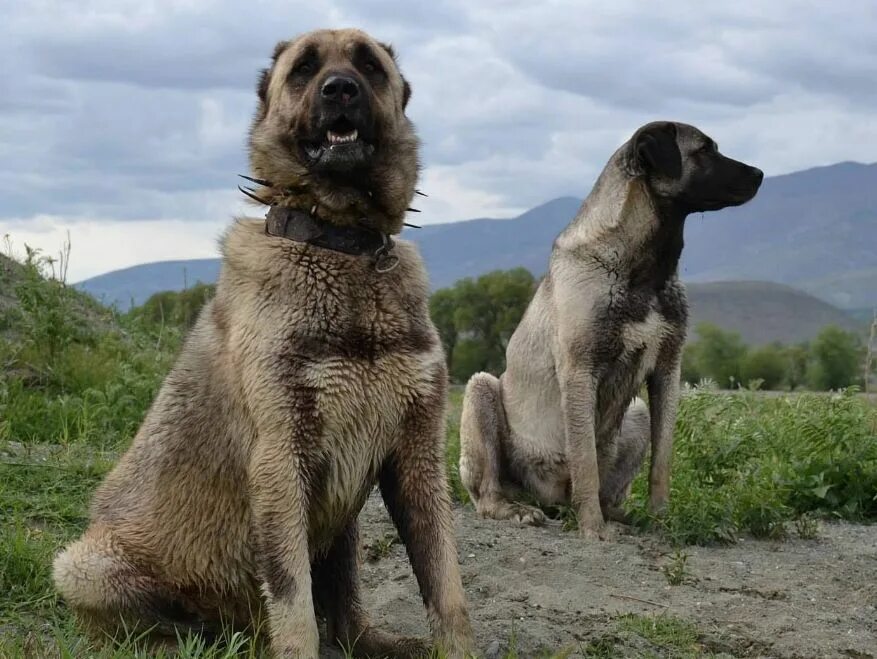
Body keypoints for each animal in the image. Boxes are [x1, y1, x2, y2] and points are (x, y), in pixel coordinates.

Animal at [51, 28, 476, 656]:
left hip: (342, 523)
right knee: (162, 626)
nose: (340, 89)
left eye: (369, 66)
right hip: (82, 566)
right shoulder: (280, 458)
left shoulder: (415, 455)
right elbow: (294, 602)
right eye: (303, 70)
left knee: (346, 611)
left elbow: (445, 582)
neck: (339, 244)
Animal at [458, 121, 760, 540]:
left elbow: (662, 461)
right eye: (704, 150)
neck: (645, 269)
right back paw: (519, 509)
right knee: (489, 493)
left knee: (610, 491)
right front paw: (592, 529)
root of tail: (546, 500)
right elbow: (585, 460)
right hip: (481, 389)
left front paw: (661, 518)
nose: (760, 174)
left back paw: (620, 515)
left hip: (635, 413)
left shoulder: (667, 371)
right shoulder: (580, 372)